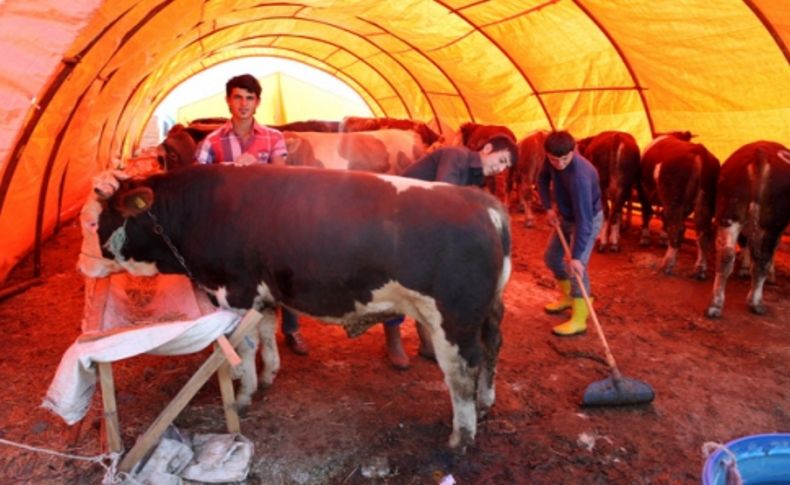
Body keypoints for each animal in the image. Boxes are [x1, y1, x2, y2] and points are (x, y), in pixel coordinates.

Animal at [79, 164, 512, 446]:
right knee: (492, 350)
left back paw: (461, 437)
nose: (81, 266)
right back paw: (486, 403)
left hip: (453, 321)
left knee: (461, 373)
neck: (197, 211)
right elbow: (266, 335)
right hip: (489, 311)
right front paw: (269, 375)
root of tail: (481, 202)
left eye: (91, 222)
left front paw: (244, 393)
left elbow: (243, 347)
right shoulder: (264, 295)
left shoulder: (237, 292)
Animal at [644, 134, 724, 278]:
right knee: (704, 233)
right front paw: (662, 238)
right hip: (704, 200)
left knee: (678, 228)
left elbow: (647, 211)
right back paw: (700, 269)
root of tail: (700, 151)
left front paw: (645, 237)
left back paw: (667, 264)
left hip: (673, 197)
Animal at [708, 141, 788, 318]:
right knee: (762, 258)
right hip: (771, 222)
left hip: (729, 215)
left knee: (725, 256)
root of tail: (760, 154)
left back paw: (716, 304)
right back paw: (756, 302)